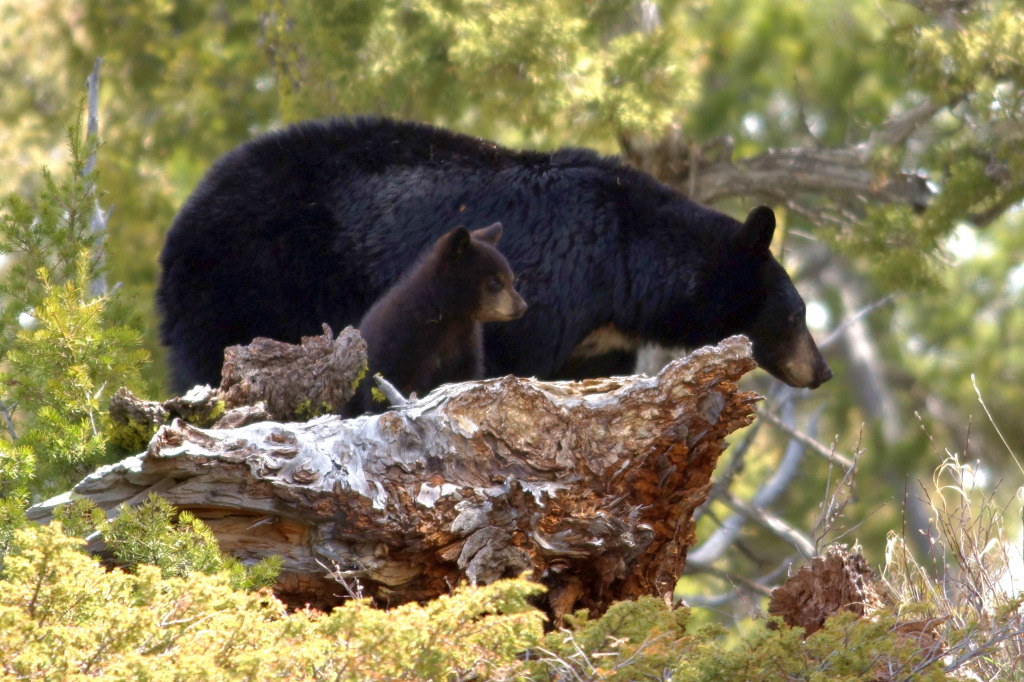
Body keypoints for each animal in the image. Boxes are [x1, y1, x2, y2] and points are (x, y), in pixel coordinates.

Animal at [157, 118, 831, 391]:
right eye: (796, 313)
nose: (821, 370)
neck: (622, 263)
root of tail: (182, 222)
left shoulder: (594, 339)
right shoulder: (548, 292)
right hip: (255, 275)